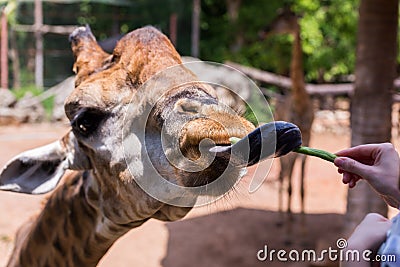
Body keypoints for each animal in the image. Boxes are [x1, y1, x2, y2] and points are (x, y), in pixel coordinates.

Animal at [260, 7, 316, 218]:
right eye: (278, 14)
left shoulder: (307, 140)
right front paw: (289, 227)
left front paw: (303, 227)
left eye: (285, 18)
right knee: (283, 177)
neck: (301, 101)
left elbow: (302, 189)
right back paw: (282, 218)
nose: (263, 32)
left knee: (286, 177)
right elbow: (291, 186)